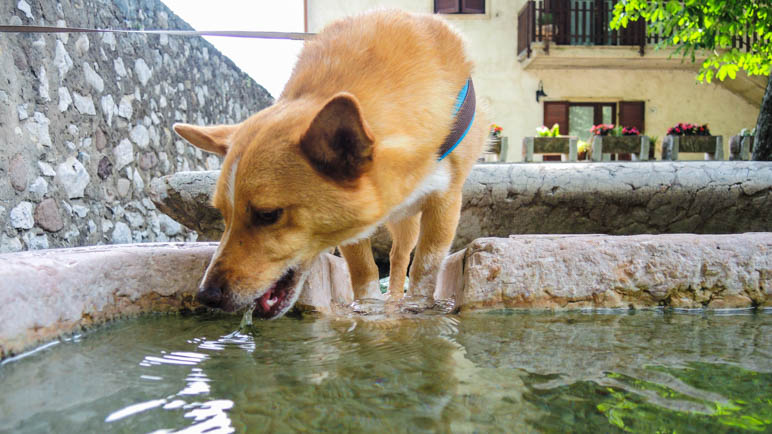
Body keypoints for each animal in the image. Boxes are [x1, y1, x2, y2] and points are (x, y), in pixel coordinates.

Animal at [174, 8, 486, 318]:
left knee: (400, 258)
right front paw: (368, 307)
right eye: (223, 214)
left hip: (407, 220)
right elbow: (362, 269)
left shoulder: (445, 200)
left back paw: (396, 299)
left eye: (268, 215)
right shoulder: (352, 226)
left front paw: (416, 305)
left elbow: (426, 264)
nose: (206, 295)